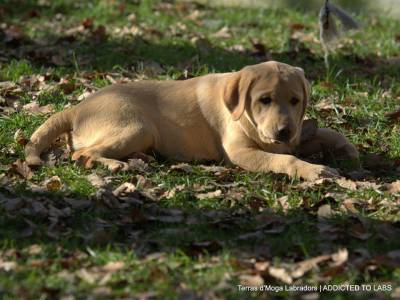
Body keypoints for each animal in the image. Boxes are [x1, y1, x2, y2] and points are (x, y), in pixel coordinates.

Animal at [25, 59, 360, 179]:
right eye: (264, 100)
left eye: (295, 101)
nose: (284, 131)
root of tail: (77, 107)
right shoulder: (241, 152)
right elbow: (284, 159)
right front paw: (314, 170)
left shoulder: (292, 138)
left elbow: (326, 133)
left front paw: (348, 149)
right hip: (137, 126)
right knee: (82, 154)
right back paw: (116, 164)